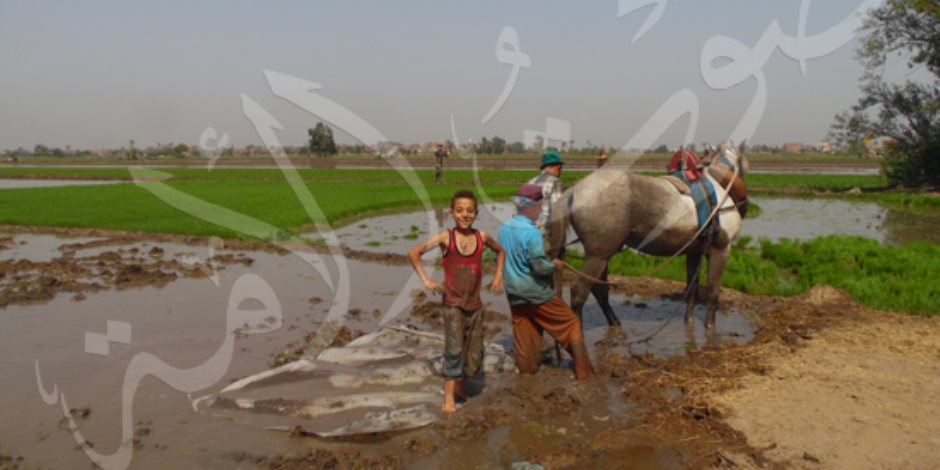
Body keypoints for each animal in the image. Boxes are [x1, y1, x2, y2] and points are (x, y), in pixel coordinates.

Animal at [552, 141, 748, 328]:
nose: (744, 204)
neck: (719, 190)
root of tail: (574, 191)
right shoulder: (721, 250)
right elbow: (713, 293)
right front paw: (710, 327)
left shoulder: (694, 252)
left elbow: (692, 290)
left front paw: (689, 322)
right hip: (598, 256)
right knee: (579, 293)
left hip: (601, 255)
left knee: (599, 290)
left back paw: (614, 322)